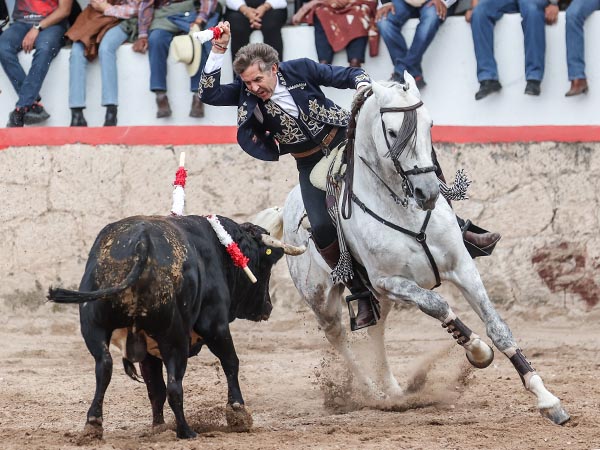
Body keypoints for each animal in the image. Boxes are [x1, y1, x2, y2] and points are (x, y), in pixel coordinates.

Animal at [47, 214, 304, 440]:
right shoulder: (215, 325)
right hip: (175, 338)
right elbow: (231, 363)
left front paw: (158, 427)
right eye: (266, 265)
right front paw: (238, 413)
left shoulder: (148, 350)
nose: (268, 307)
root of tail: (141, 243)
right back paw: (186, 431)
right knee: (174, 385)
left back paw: (93, 425)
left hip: (94, 327)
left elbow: (154, 389)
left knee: (105, 367)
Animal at [276, 75, 568, 424]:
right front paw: (478, 351)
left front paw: (547, 399)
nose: (427, 192)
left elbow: (499, 328)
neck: (404, 209)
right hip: (323, 301)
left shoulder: (461, 266)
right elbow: (439, 305)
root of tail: (285, 208)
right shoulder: (391, 281)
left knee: (377, 330)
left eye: (430, 124)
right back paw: (372, 394)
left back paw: (393, 391)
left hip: (378, 298)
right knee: (339, 338)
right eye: (392, 132)